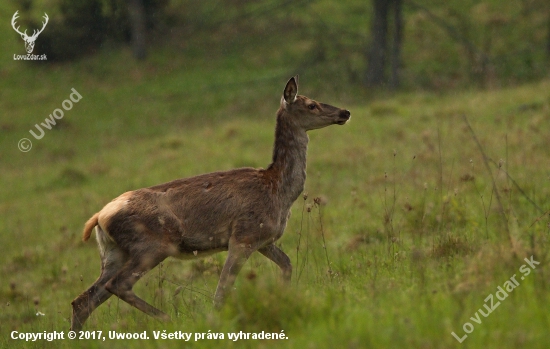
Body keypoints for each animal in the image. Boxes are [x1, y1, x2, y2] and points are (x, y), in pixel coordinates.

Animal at [71, 75, 352, 330]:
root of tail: (98, 217)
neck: (279, 191)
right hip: (153, 243)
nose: (345, 111)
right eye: (312, 105)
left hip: (114, 252)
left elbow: (287, 264)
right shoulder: (244, 235)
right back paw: (168, 318)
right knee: (117, 285)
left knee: (83, 300)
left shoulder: (264, 239)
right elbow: (221, 292)